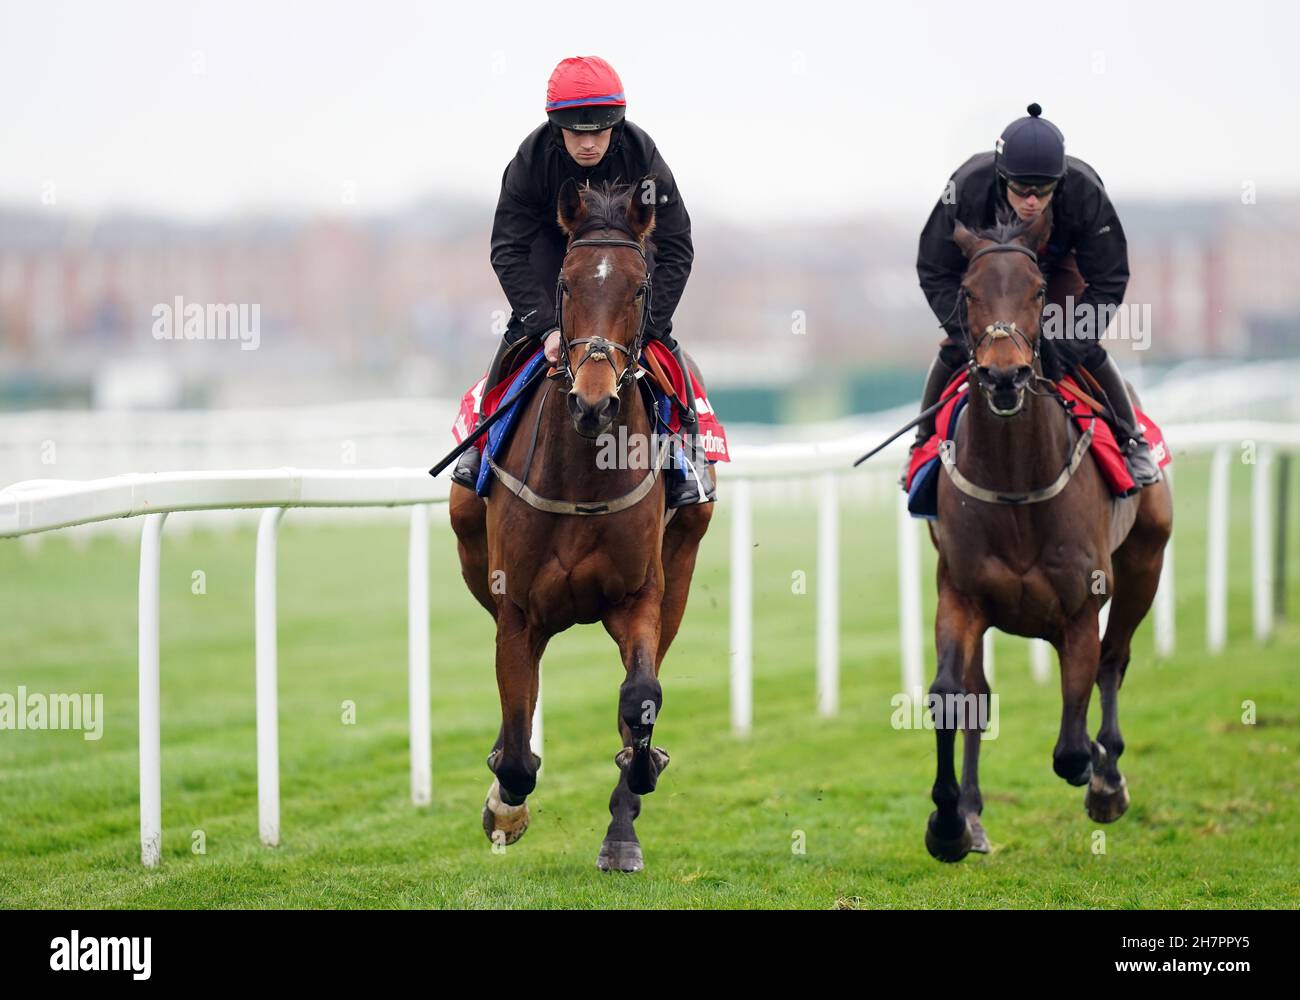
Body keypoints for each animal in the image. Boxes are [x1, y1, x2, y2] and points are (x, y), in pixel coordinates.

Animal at [448, 178, 713, 873]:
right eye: (565, 285)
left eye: (640, 289)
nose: (592, 402)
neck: (585, 478)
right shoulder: (517, 608)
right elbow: (518, 749)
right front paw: (505, 805)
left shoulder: (640, 595)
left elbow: (639, 697)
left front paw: (642, 774)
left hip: (682, 564)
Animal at [922, 208, 1173, 862]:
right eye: (968, 291)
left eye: (1037, 291)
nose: (1004, 375)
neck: (1016, 485)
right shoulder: (960, 596)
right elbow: (950, 697)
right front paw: (948, 822)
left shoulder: (1080, 608)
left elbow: (1070, 746)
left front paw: (1098, 772)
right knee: (979, 695)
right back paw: (973, 812)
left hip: (1145, 563)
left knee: (1115, 660)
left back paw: (1108, 779)